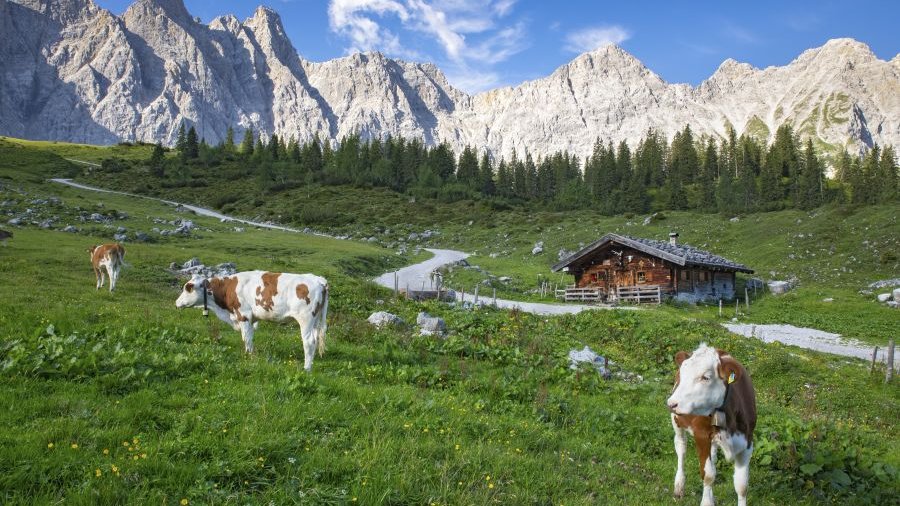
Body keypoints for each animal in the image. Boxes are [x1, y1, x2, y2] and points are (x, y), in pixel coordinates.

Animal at [175, 271, 329, 372]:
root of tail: (318, 280)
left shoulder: (243, 316)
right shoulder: (250, 319)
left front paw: (248, 357)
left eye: (187, 288)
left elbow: (247, 339)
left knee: (309, 342)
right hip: (315, 320)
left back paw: (307, 368)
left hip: (306, 319)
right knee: (316, 338)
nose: (176, 303)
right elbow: (249, 337)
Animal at [667, 343, 757, 506]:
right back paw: (679, 487)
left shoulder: (747, 441)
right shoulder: (701, 436)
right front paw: (707, 501)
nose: (671, 403)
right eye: (682, 375)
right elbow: (708, 475)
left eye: (706, 377)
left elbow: (742, 485)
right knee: (681, 448)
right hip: (677, 423)